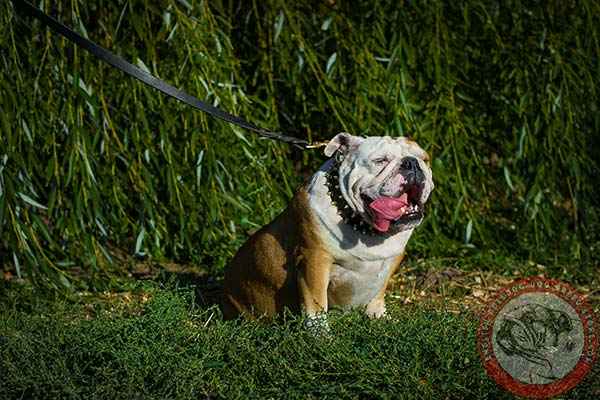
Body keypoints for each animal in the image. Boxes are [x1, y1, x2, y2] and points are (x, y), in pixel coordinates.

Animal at [219, 131, 432, 332]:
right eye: (380, 160)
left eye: (424, 159)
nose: (412, 163)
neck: (363, 227)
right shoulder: (314, 260)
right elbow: (316, 304)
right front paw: (322, 337)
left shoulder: (392, 260)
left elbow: (378, 292)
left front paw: (379, 317)